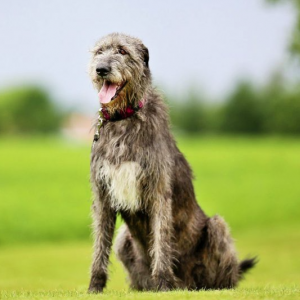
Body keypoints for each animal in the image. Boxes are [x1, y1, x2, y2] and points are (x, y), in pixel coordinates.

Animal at [86, 32, 255, 292]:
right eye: (99, 52)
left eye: (122, 51)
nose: (101, 69)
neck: (124, 119)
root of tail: (188, 283)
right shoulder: (103, 193)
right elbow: (100, 244)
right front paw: (95, 286)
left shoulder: (158, 189)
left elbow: (161, 238)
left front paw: (164, 282)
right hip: (124, 239)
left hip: (217, 227)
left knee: (224, 272)